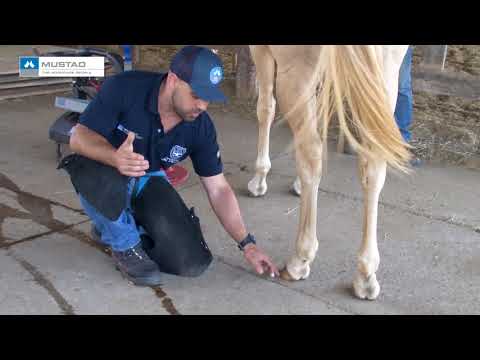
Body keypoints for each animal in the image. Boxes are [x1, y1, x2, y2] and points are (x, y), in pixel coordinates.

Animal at [248, 45, 412, 300]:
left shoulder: (261, 52)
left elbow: (266, 108)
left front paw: (259, 179)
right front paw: (297, 184)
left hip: (295, 73)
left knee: (311, 154)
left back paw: (300, 260)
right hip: (385, 74)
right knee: (373, 164)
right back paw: (366, 274)